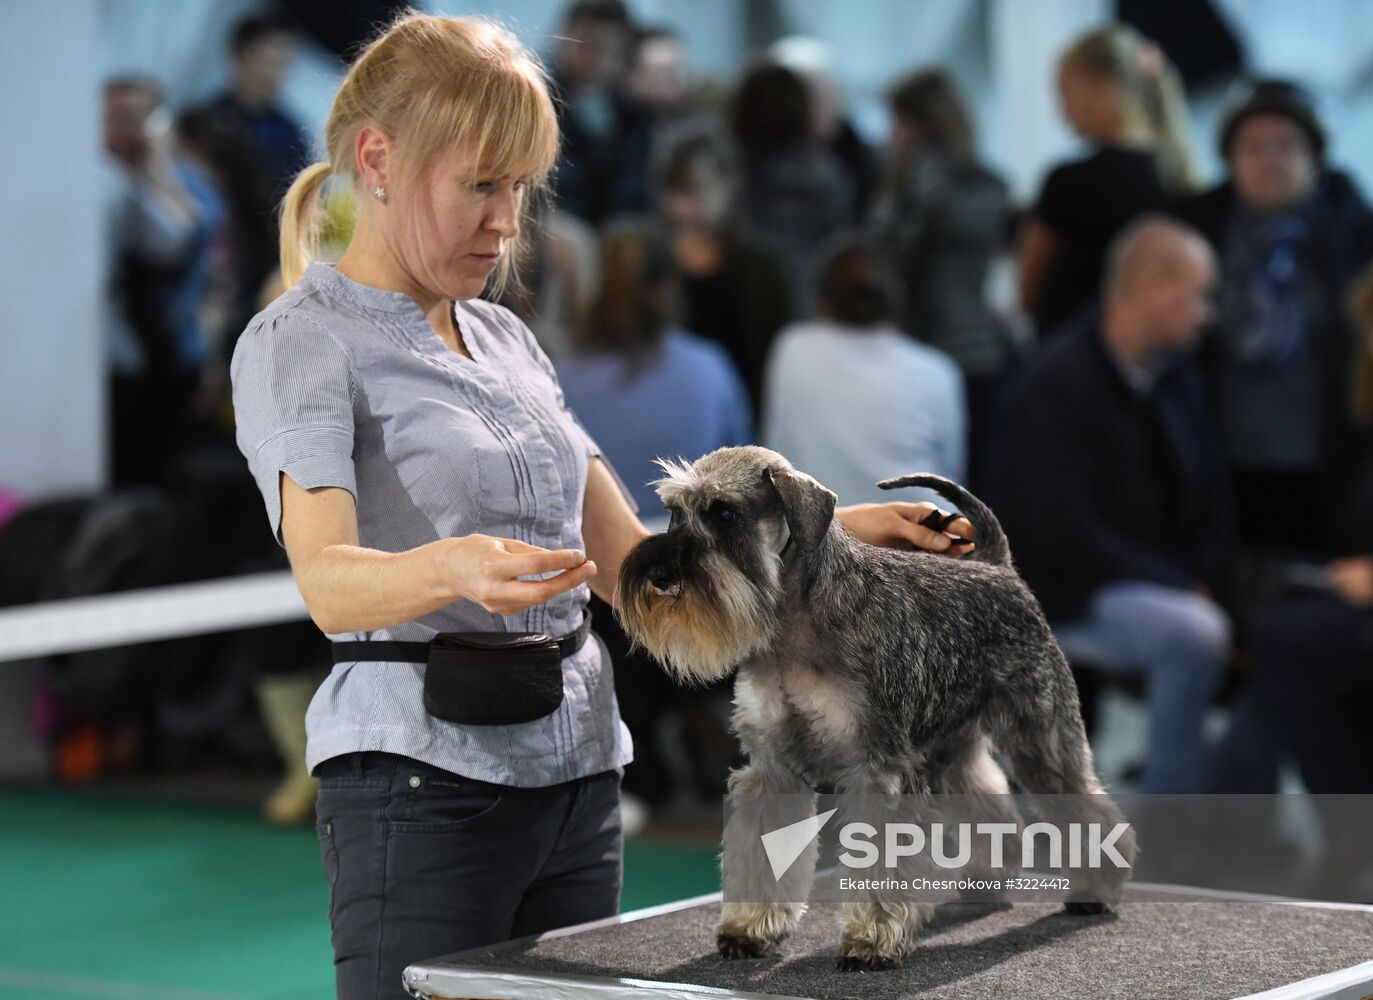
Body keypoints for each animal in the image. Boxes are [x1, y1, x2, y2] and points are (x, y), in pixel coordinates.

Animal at [617, 445, 1131, 967]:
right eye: (674, 512)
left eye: (724, 512)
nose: (659, 575)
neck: (793, 623)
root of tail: (999, 567)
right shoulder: (772, 769)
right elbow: (762, 851)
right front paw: (748, 929)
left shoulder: (877, 769)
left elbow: (882, 859)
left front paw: (872, 940)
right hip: (950, 749)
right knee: (991, 804)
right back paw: (985, 882)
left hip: (1040, 737)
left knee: (1089, 808)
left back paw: (1095, 889)